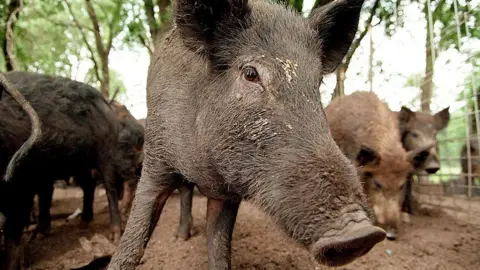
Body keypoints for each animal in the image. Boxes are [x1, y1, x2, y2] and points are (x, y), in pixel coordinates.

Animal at [107, 0, 388, 270]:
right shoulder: (155, 159)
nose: (361, 234)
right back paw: (181, 237)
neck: (206, 170)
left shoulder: (226, 195)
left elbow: (220, 250)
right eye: (251, 73)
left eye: (317, 82)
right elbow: (133, 241)